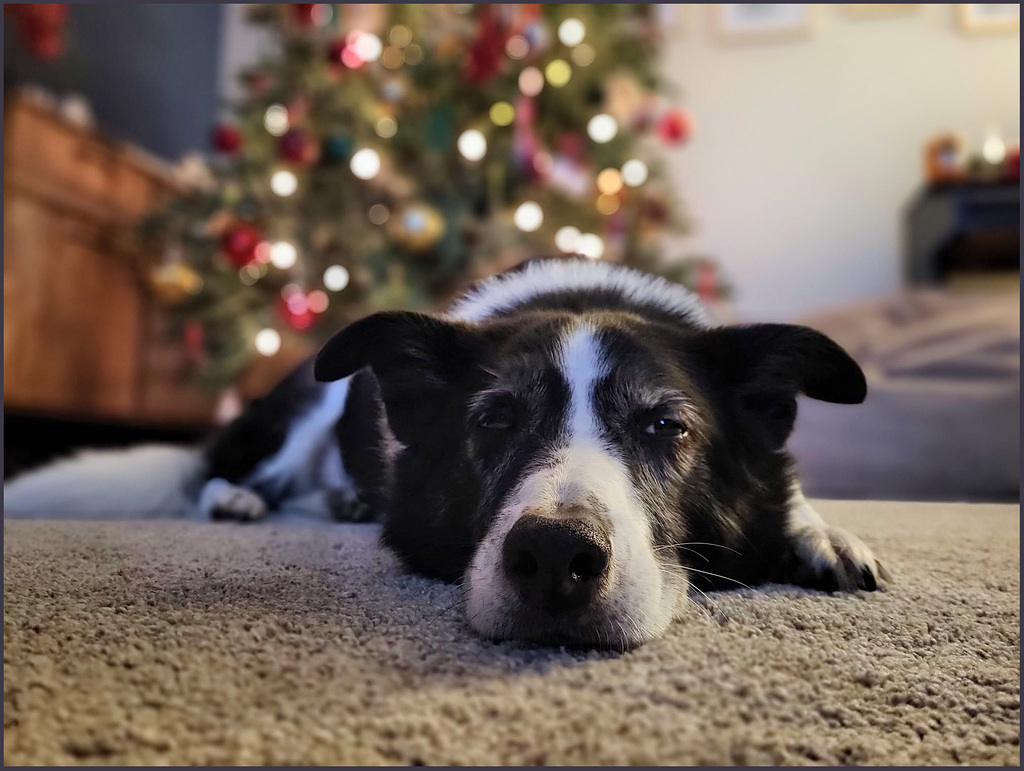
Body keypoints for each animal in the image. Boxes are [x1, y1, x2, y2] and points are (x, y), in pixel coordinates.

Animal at [4, 255, 888, 647]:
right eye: (493, 420)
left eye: (665, 427)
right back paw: (238, 498)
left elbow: (792, 497)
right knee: (227, 471)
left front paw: (820, 532)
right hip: (310, 402)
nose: (556, 556)